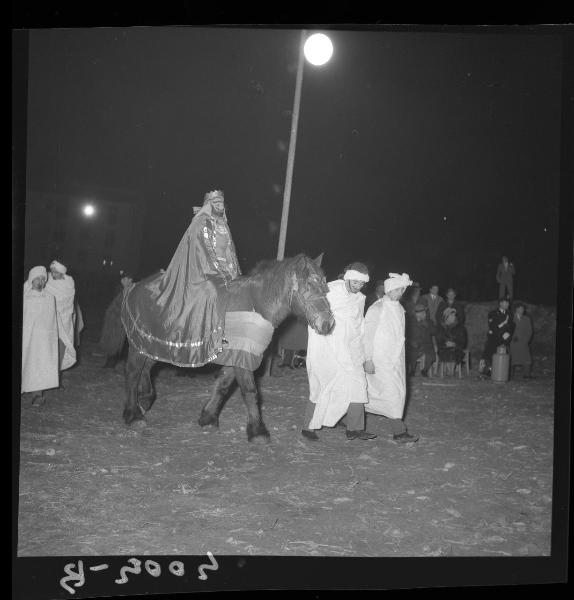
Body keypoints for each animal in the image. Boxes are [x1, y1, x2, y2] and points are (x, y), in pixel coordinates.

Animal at [106, 253, 336, 440]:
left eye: (325, 287)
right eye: (307, 287)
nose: (328, 323)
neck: (255, 305)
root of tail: (133, 286)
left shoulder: (238, 357)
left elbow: (223, 386)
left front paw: (208, 417)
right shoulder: (243, 359)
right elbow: (250, 391)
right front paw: (257, 431)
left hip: (154, 345)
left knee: (146, 369)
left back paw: (145, 399)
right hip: (139, 345)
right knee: (133, 372)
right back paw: (133, 414)